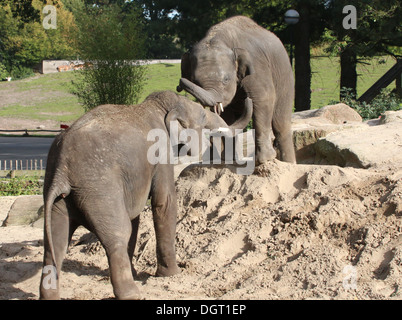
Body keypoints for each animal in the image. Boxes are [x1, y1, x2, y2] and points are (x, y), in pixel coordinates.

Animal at [38, 90, 251, 300]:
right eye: (203, 116)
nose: (248, 97)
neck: (155, 107)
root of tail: (62, 171)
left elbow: (135, 216)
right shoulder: (161, 153)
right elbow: (164, 202)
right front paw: (171, 274)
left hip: (59, 197)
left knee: (55, 242)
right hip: (99, 189)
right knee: (118, 234)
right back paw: (132, 294)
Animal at [177, 15, 296, 165]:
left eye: (226, 79)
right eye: (195, 81)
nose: (179, 86)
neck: (221, 38)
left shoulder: (257, 66)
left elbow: (264, 98)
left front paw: (264, 159)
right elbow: (225, 114)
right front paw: (227, 159)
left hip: (285, 78)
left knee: (281, 123)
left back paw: (289, 163)